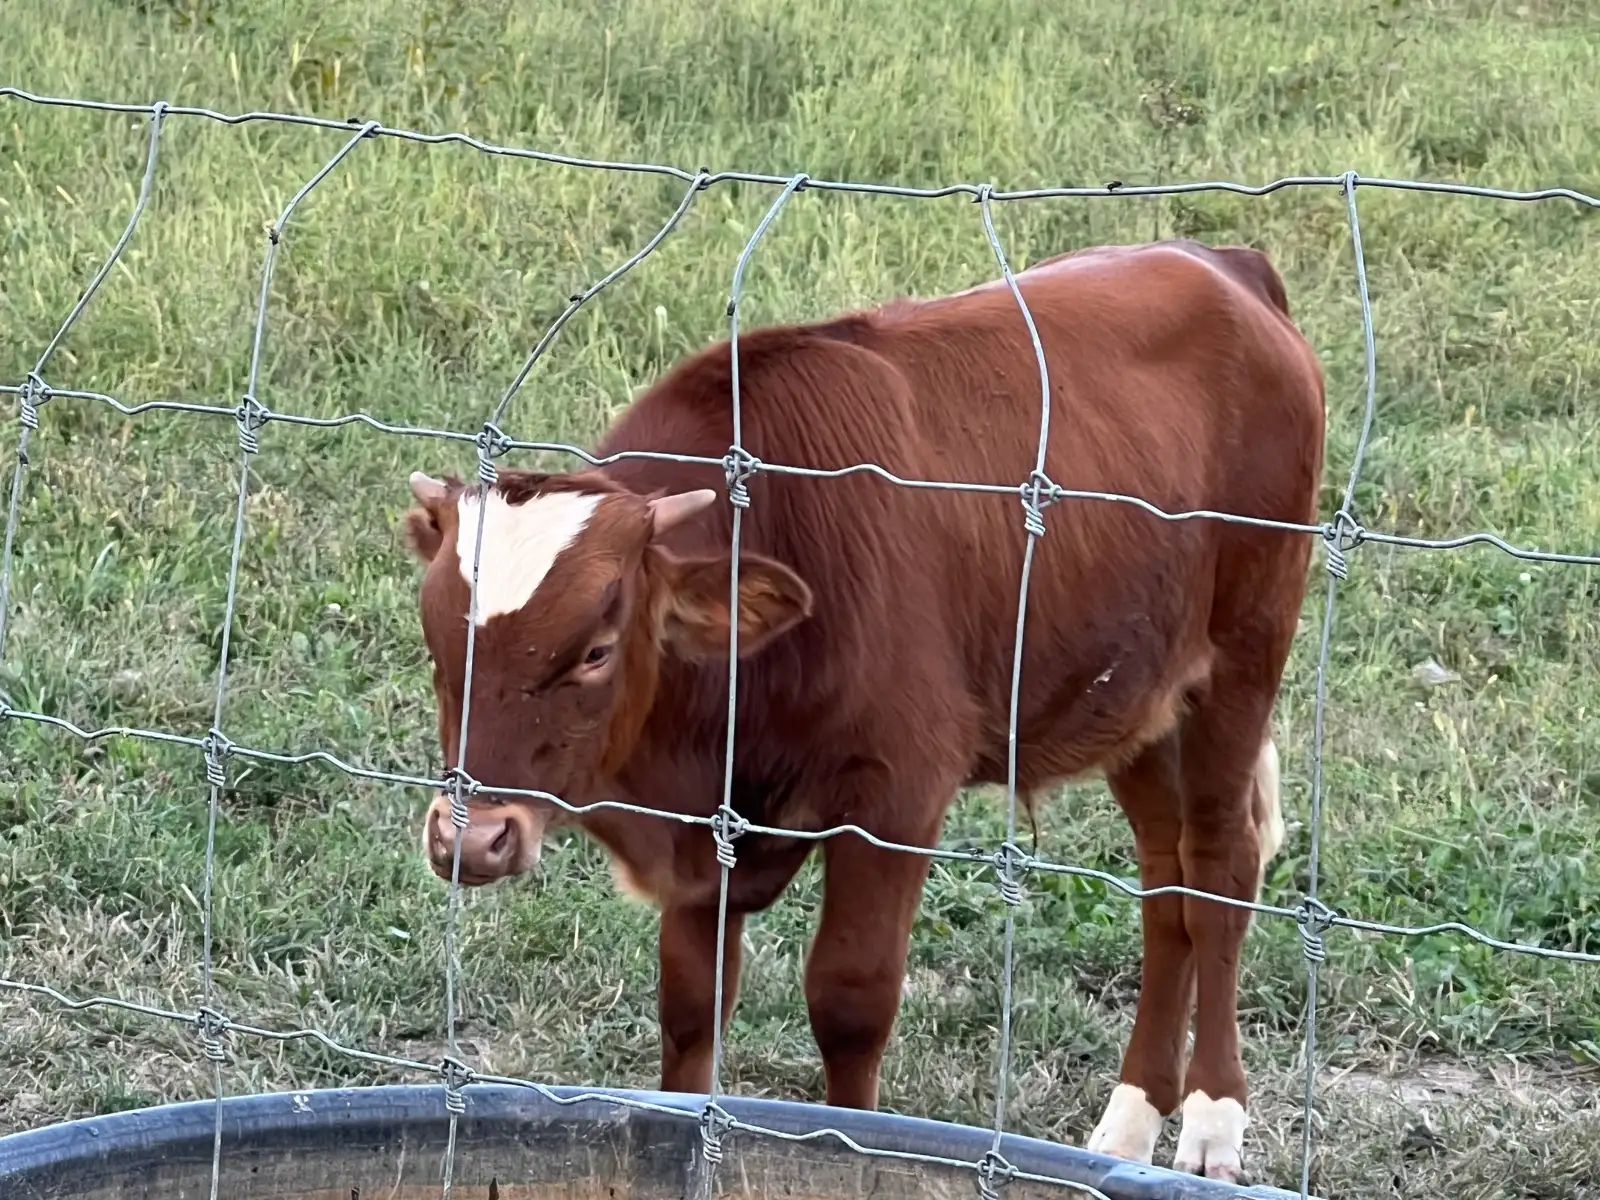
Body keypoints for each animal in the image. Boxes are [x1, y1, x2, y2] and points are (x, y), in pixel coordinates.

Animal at [399, 237, 1325, 1183]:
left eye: (595, 649)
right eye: (435, 632)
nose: (472, 837)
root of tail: (1220, 261)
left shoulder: (898, 789)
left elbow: (849, 999)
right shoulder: (710, 836)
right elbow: (692, 1004)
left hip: (1242, 659)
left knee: (1218, 865)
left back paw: (1211, 1123)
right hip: (1136, 699)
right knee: (1164, 882)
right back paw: (1132, 1124)